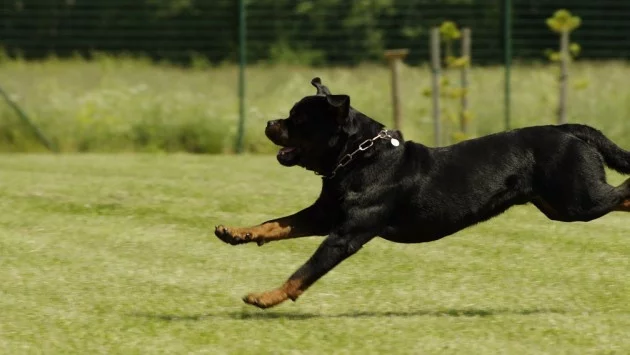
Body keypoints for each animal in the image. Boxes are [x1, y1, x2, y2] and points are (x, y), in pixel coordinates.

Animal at [215, 77, 628, 308]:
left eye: (298, 120)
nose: (270, 123)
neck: (357, 158)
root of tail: (567, 129)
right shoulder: (323, 216)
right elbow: (276, 223)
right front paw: (237, 233)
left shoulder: (345, 234)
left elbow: (304, 271)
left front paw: (265, 297)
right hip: (559, 204)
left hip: (578, 201)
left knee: (622, 192)